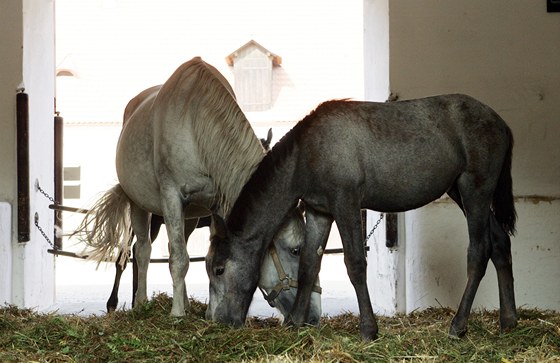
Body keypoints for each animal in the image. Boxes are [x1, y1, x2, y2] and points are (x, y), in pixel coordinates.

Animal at [75, 57, 322, 322]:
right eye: (296, 250)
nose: (312, 315)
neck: (196, 124)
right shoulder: (171, 196)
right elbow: (177, 260)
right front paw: (176, 314)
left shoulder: (218, 204)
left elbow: (207, 258)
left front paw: (207, 311)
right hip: (139, 206)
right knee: (140, 251)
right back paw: (138, 303)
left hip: (189, 216)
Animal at [206, 94, 516, 342]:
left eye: (219, 269)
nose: (219, 321)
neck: (308, 152)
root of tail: (501, 123)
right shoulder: (320, 211)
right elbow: (308, 265)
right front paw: (295, 322)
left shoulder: (346, 204)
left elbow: (355, 264)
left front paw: (368, 330)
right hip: (460, 192)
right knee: (500, 243)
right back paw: (509, 321)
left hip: (475, 191)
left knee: (479, 252)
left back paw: (458, 326)